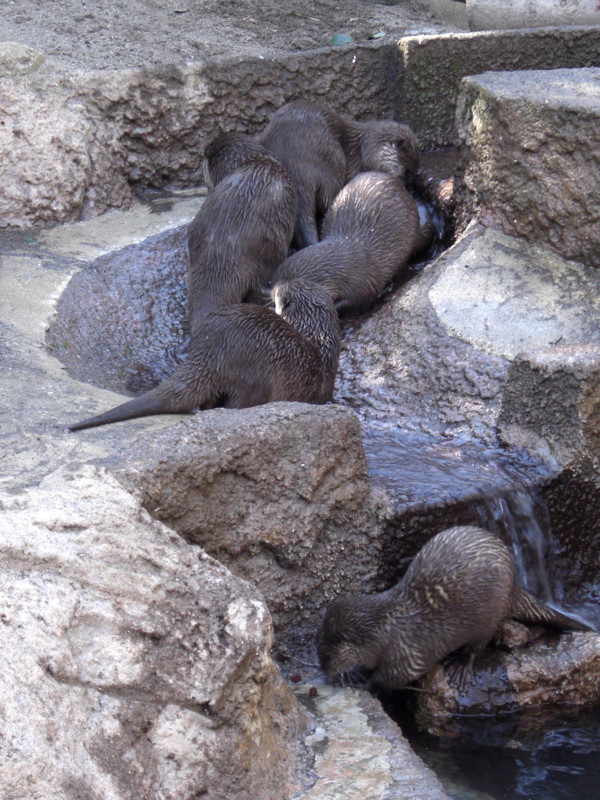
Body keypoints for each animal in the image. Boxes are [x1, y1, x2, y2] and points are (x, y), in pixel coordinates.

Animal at [258, 101, 422, 250]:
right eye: (406, 171)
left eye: (414, 172)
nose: (408, 187)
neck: (363, 150)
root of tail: (298, 165)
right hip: (333, 159)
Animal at [316, 528, 592, 692]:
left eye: (327, 655)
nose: (324, 673)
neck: (387, 629)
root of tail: (514, 581)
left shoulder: (407, 655)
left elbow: (390, 679)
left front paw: (361, 682)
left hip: (491, 612)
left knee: (480, 643)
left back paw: (461, 666)